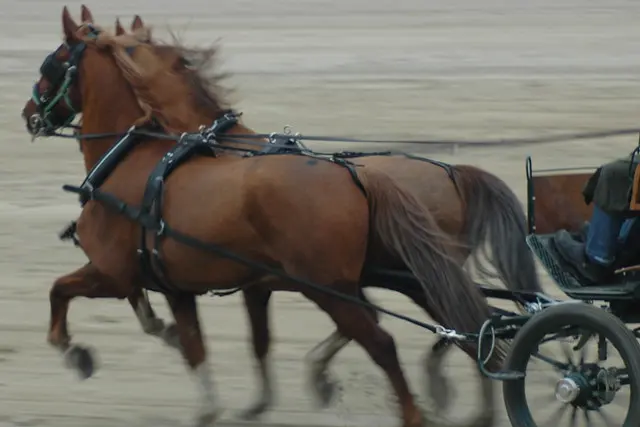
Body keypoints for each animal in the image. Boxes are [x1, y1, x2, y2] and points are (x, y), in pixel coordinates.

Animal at [20, 7, 503, 427]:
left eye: (51, 62)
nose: (28, 115)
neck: (137, 157)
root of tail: (357, 175)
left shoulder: (114, 272)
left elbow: (60, 290)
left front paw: (72, 350)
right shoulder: (184, 285)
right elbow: (205, 345)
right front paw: (219, 404)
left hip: (334, 285)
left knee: (387, 341)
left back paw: (420, 407)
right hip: (403, 277)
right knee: (473, 324)